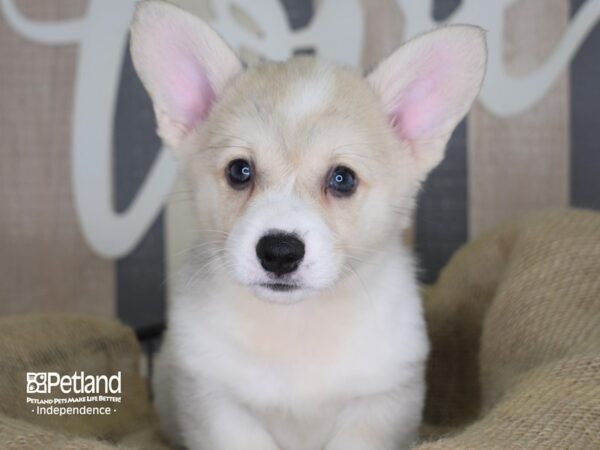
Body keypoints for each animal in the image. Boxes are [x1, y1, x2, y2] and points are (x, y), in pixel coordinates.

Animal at [130, 1, 488, 448]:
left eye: (343, 179)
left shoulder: (380, 404)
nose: (279, 252)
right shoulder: (217, 404)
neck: (297, 325)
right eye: (239, 171)